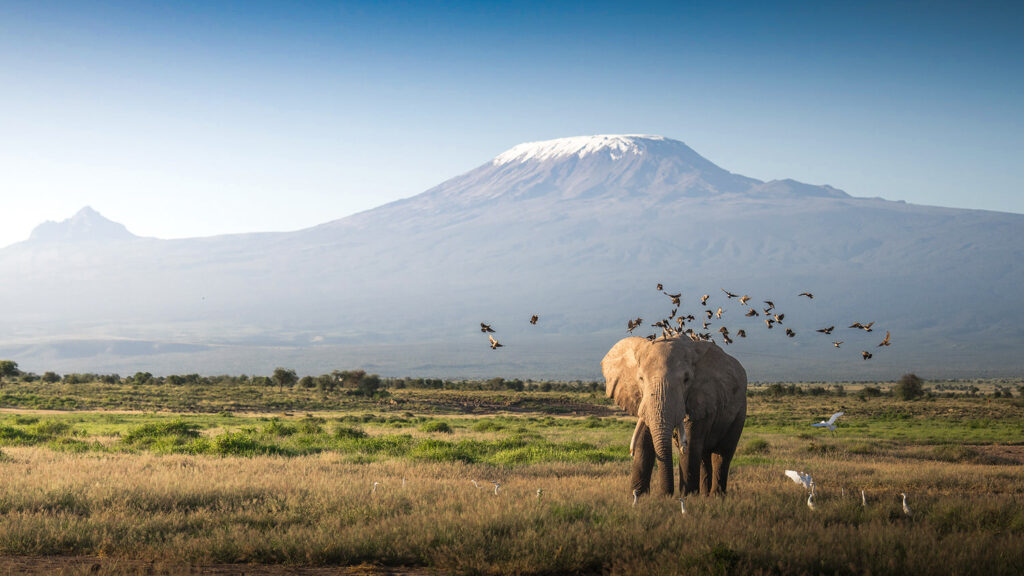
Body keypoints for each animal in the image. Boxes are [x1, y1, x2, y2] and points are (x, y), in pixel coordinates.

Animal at [602, 336, 747, 497]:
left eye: (686, 379)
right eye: (640, 378)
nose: (665, 495)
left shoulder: (701, 397)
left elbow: (690, 443)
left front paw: (687, 497)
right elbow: (643, 440)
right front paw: (637, 495)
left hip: (740, 411)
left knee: (722, 454)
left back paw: (716, 496)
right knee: (704, 456)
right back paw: (705, 496)